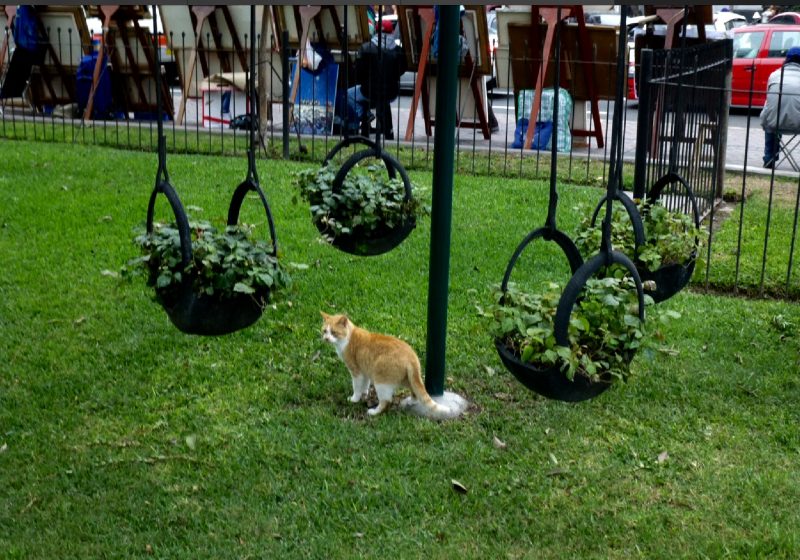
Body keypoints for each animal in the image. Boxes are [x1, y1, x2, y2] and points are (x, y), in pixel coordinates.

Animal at [322, 312, 454, 418]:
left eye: (333, 332)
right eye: (324, 331)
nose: (326, 338)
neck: (347, 338)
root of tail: (411, 356)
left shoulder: (356, 372)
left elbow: (357, 388)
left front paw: (354, 399)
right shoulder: (365, 372)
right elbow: (365, 386)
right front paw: (364, 395)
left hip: (381, 381)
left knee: (386, 402)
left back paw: (374, 412)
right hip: (406, 379)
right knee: (415, 390)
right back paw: (411, 401)